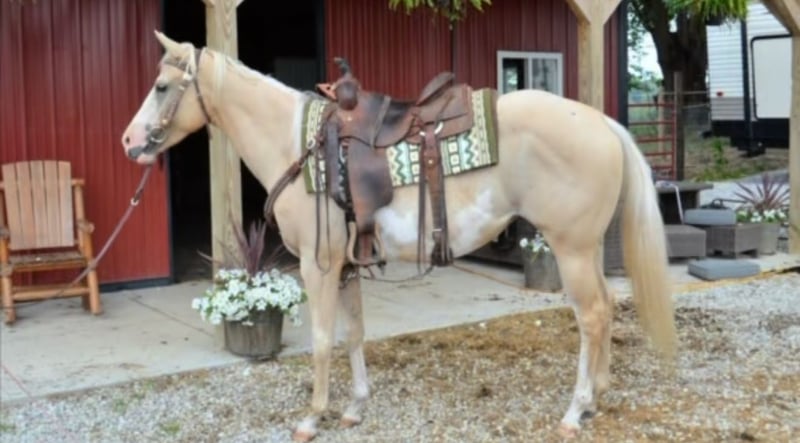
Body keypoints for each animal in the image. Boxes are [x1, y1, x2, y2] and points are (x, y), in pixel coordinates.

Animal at [121, 31, 677, 441]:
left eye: (163, 87)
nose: (129, 142)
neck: (296, 145)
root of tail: (603, 124)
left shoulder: (318, 266)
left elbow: (321, 340)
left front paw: (312, 417)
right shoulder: (347, 266)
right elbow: (354, 334)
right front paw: (354, 407)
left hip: (571, 249)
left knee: (593, 316)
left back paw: (575, 409)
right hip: (585, 249)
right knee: (606, 309)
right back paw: (597, 396)